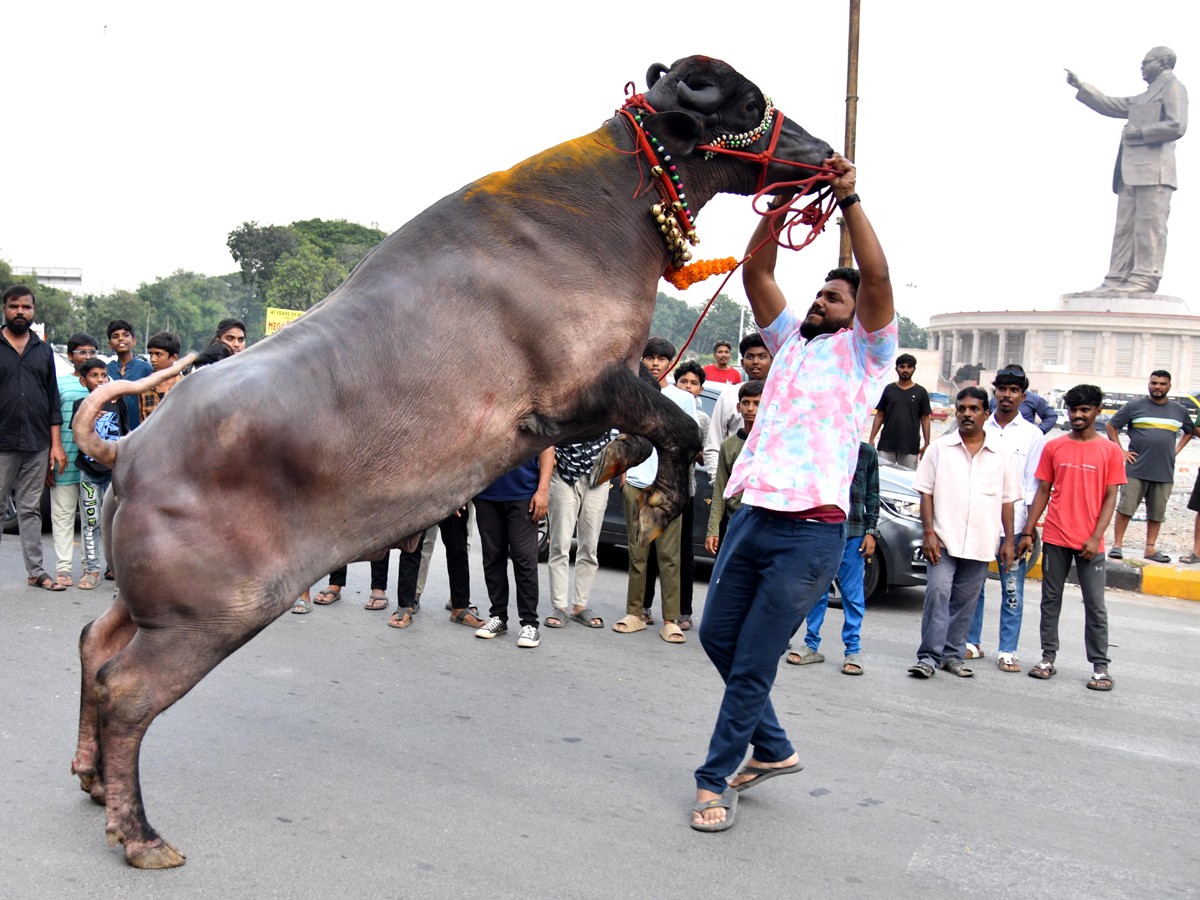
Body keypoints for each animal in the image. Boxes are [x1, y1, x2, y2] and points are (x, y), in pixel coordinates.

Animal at [68, 54, 835, 868]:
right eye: (746, 104)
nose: (824, 155)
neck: (604, 215)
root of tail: (131, 448)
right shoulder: (585, 389)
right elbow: (679, 429)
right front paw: (657, 501)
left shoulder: (595, 401)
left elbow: (643, 435)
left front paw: (624, 475)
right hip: (211, 614)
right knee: (126, 689)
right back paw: (140, 834)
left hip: (151, 603)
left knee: (95, 644)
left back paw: (92, 780)